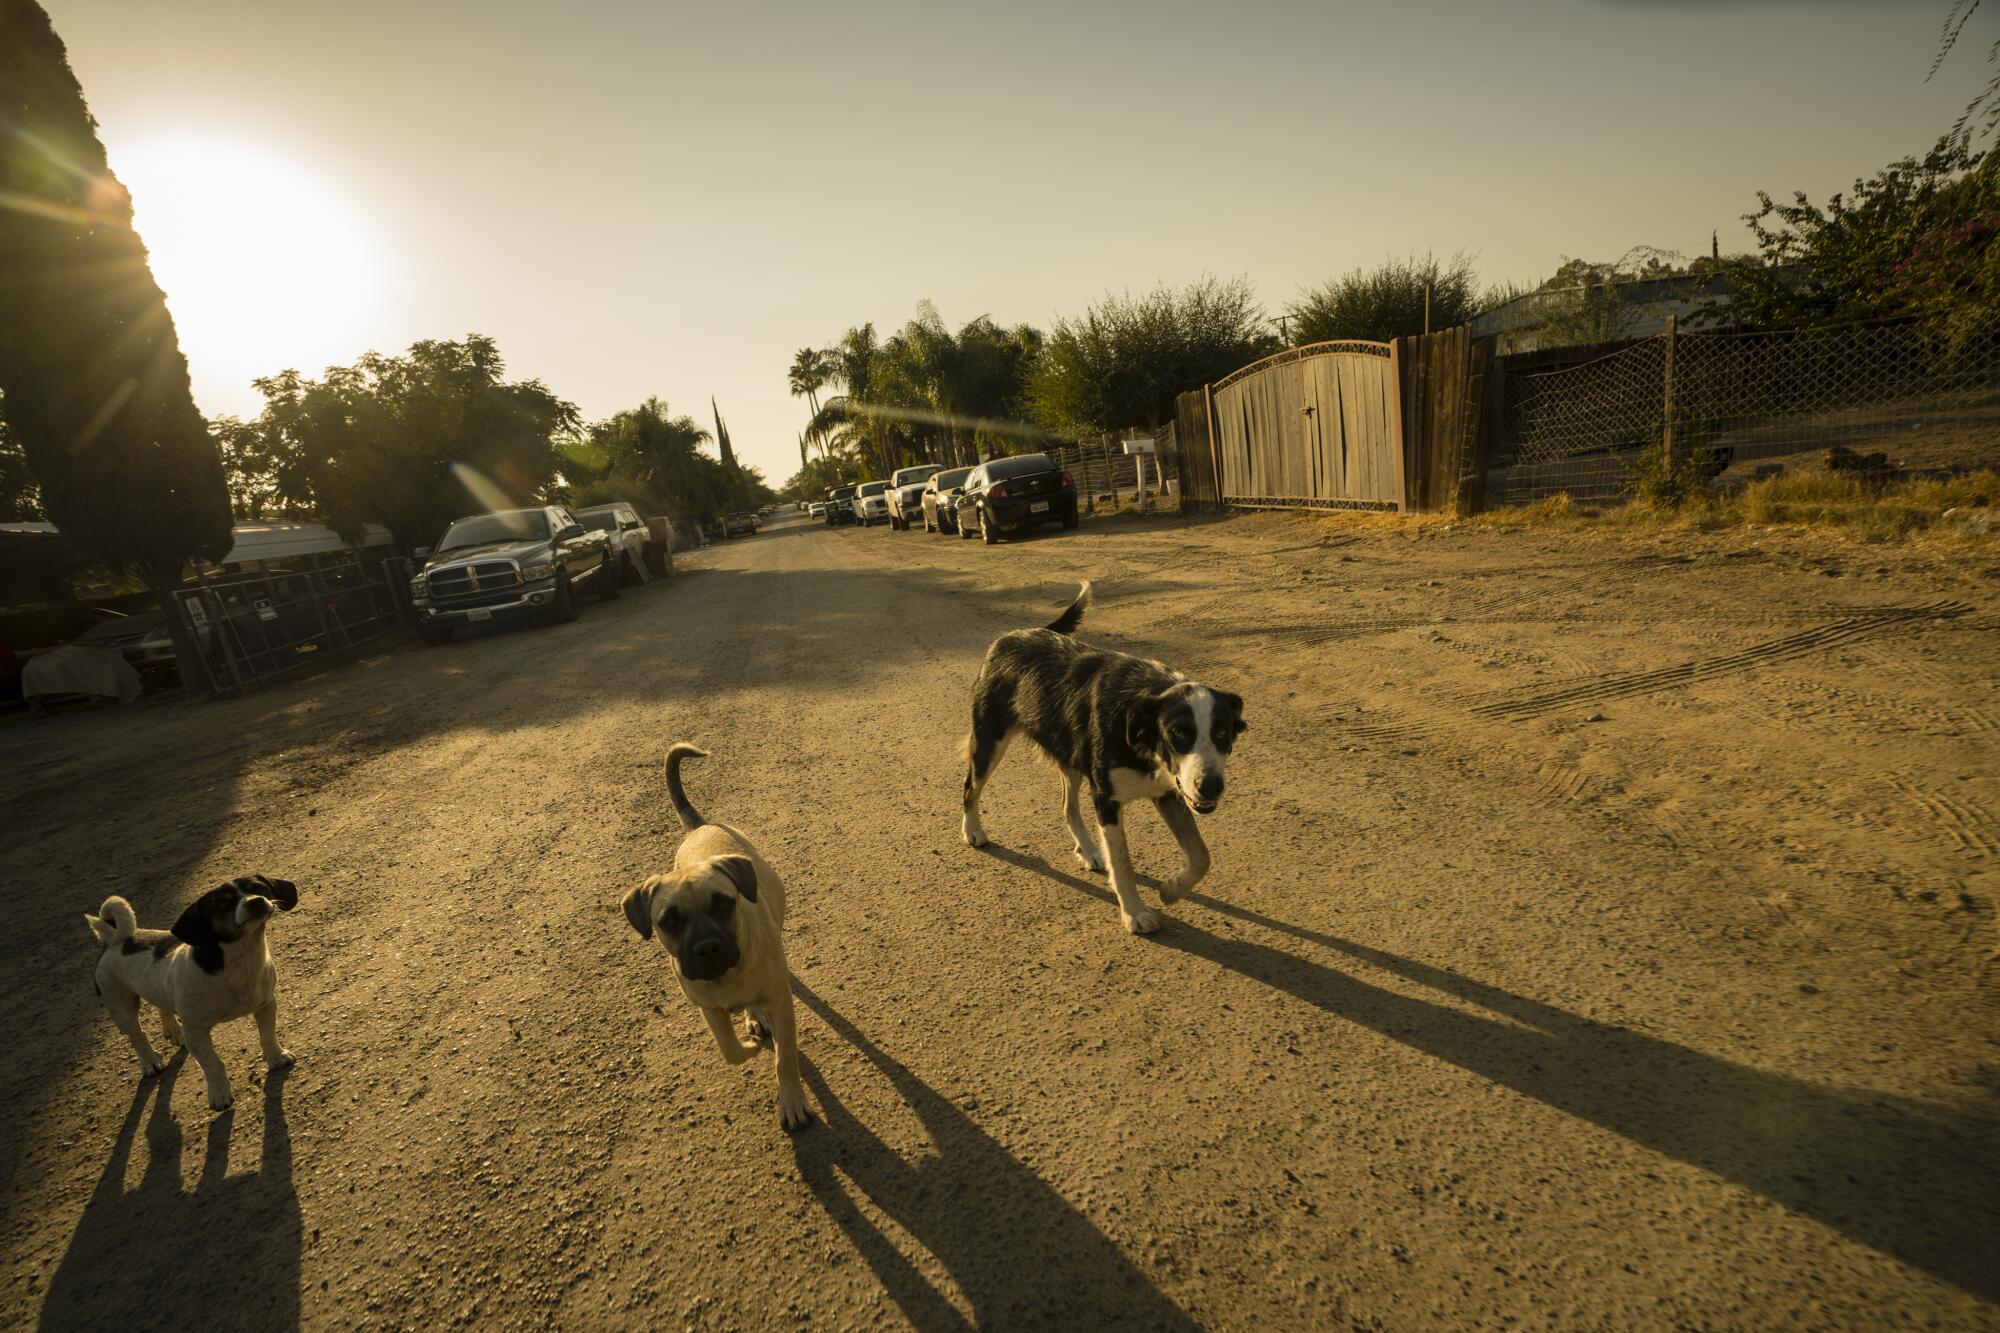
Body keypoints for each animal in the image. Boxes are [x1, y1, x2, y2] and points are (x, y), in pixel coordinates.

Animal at [83, 872, 296, 1112]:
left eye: (258, 888)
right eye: (223, 903)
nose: (255, 901)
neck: (240, 962)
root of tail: (116, 941)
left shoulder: (266, 1005)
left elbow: (267, 1036)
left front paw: (276, 1058)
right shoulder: (196, 1031)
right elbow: (213, 1064)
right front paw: (219, 1094)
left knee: (163, 1006)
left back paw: (174, 1031)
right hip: (121, 1007)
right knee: (137, 1035)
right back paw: (150, 1061)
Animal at [624, 740, 812, 1128]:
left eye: (723, 904)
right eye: (669, 920)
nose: (708, 948)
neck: (728, 976)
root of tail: (701, 826)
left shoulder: (781, 1002)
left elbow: (785, 1059)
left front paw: (791, 1101)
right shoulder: (708, 1008)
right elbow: (730, 1050)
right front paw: (749, 1046)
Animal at [956, 580, 1240, 932]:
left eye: (1222, 733)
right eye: (1178, 733)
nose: (1211, 786)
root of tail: (1014, 635)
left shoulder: (1167, 792)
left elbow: (1201, 856)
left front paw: (1171, 890)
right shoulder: (1107, 798)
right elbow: (1123, 862)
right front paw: (1135, 913)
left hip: (1072, 758)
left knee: (1067, 807)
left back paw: (1089, 849)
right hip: (990, 742)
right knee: (971, 786)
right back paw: (972, 831)